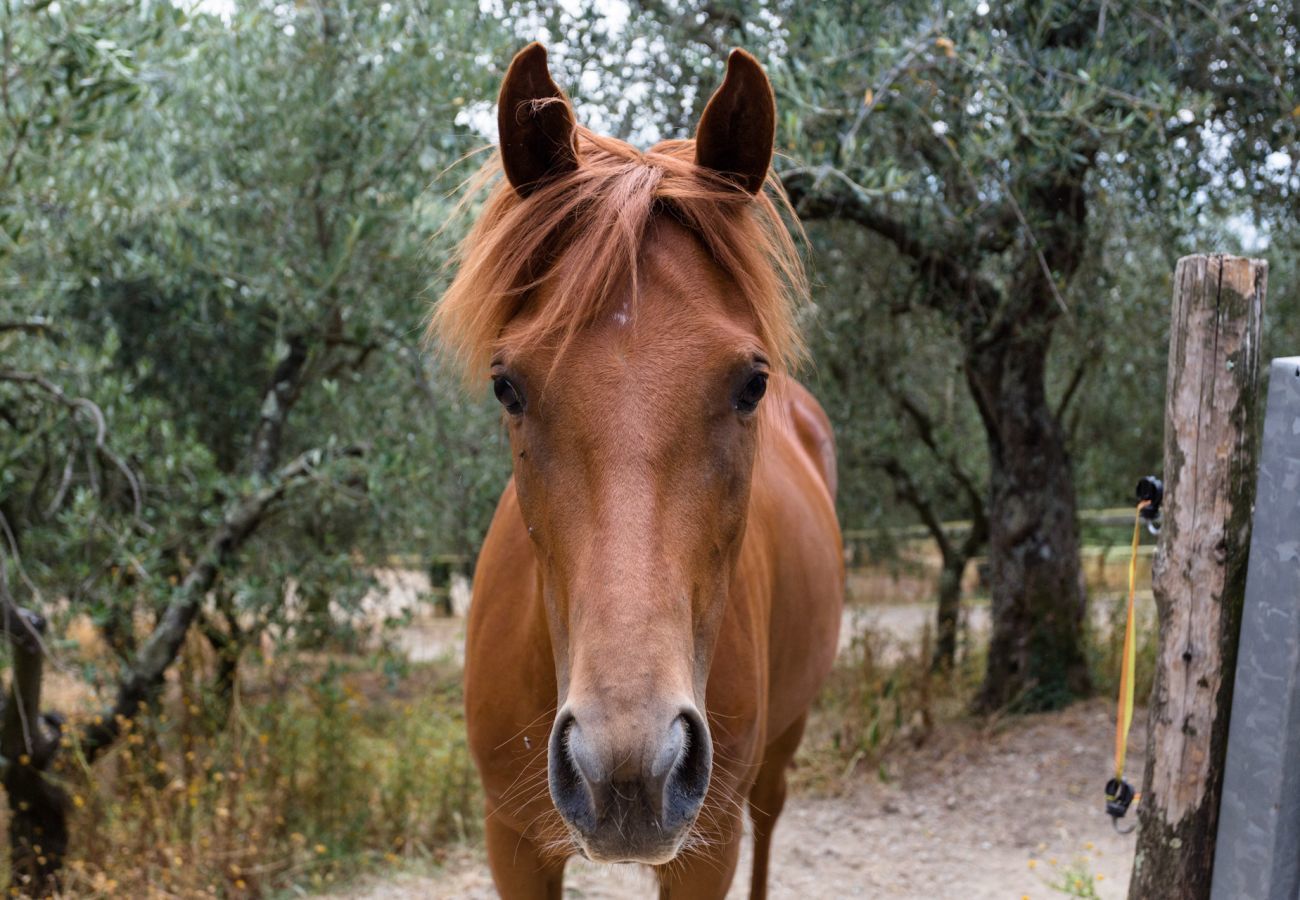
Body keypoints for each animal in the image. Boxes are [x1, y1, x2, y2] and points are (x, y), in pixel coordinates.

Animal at [431, 43, 847, 900]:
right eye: (507, 385)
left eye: (751, 383)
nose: (628, 770)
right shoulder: (511, 842)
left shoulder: (705, 850)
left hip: (776, 754)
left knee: (770, 819)